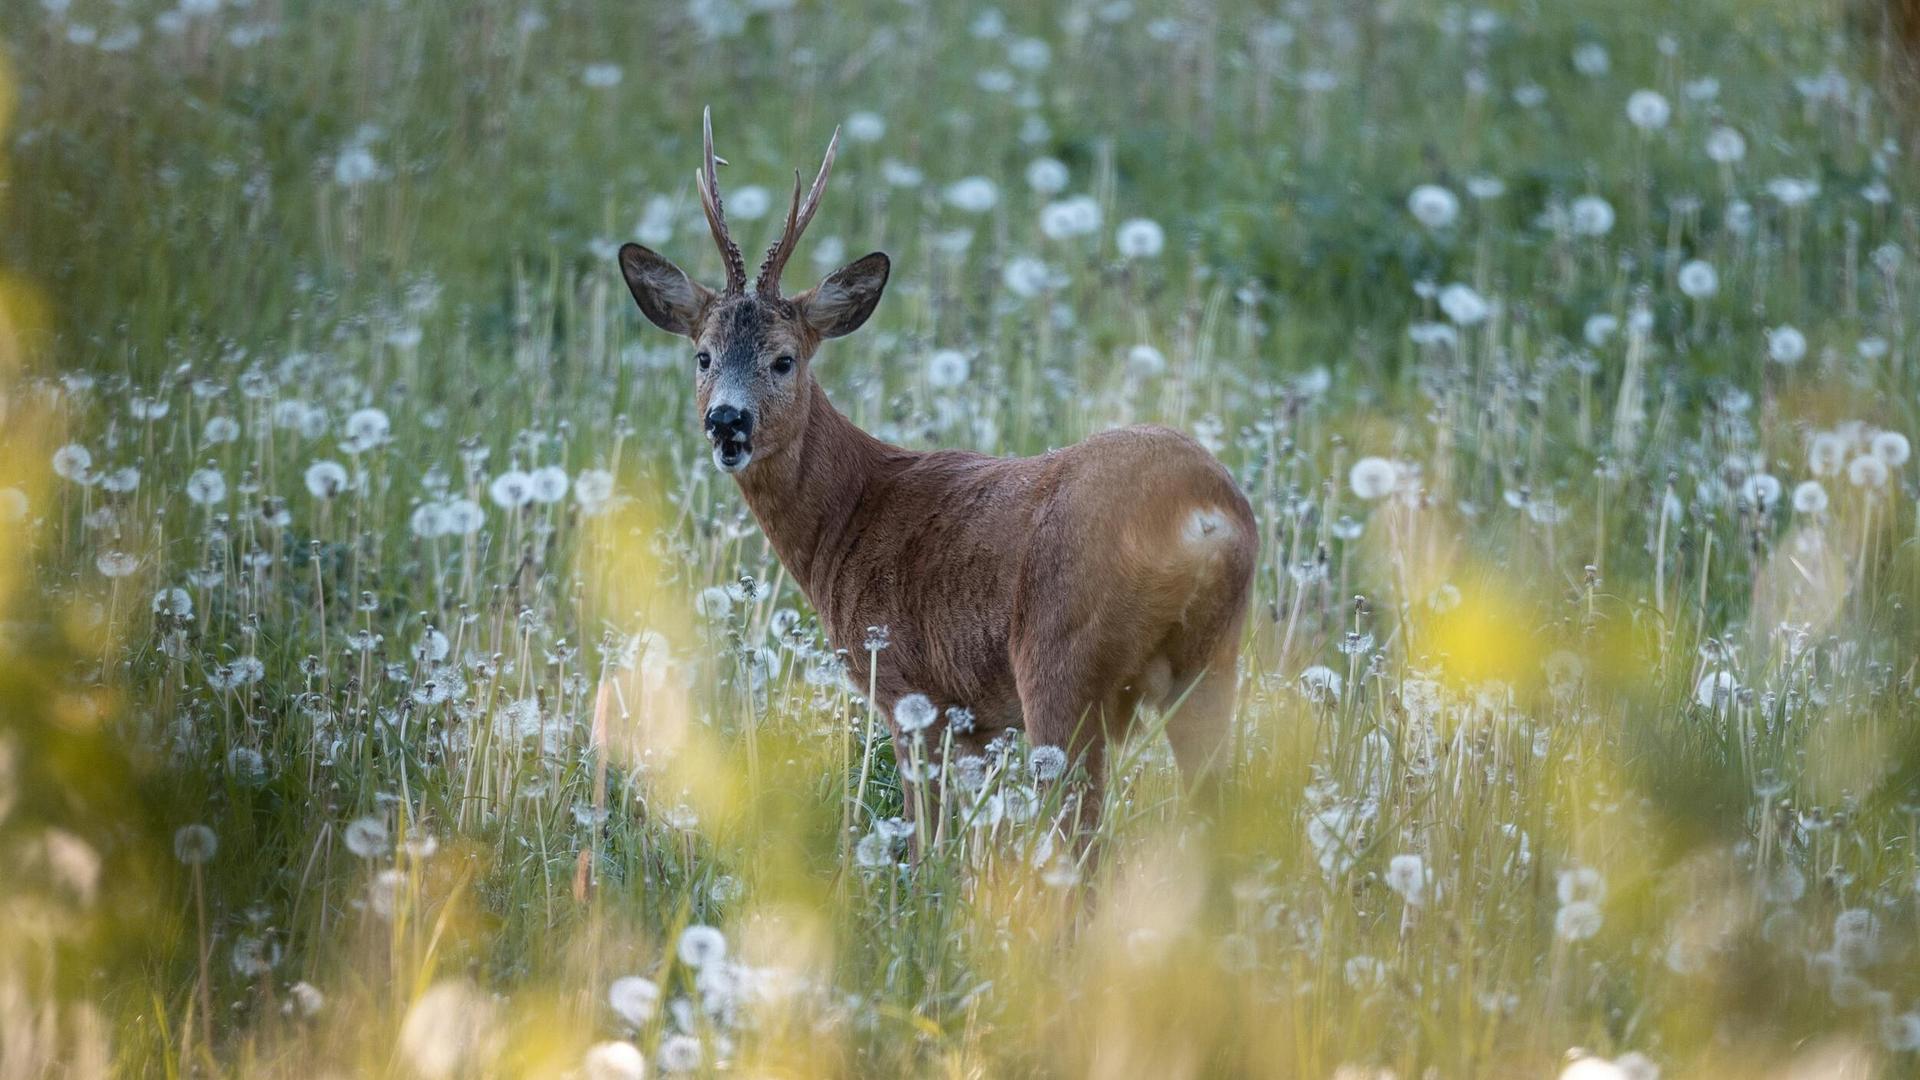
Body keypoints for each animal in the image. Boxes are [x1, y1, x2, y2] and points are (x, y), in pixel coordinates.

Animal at [618, 107, 1259, 814]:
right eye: (703, 356)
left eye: (784, 359)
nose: (727, 421)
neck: (849, 514)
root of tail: (1201, 510)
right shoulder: (975, 718)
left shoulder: (908, 688)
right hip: (1214, 663)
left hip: (1061, 659)